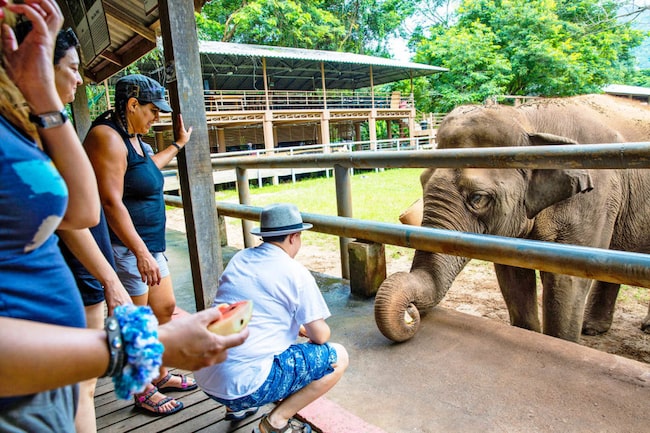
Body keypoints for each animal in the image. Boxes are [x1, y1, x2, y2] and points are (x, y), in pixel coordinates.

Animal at [372, 93, 648, 340]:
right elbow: (512, 273)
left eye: (478, 198)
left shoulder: (594, 199)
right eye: (421, 181)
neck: (528, 120)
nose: (410, 311)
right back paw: (592, 329)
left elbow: (568, 280)